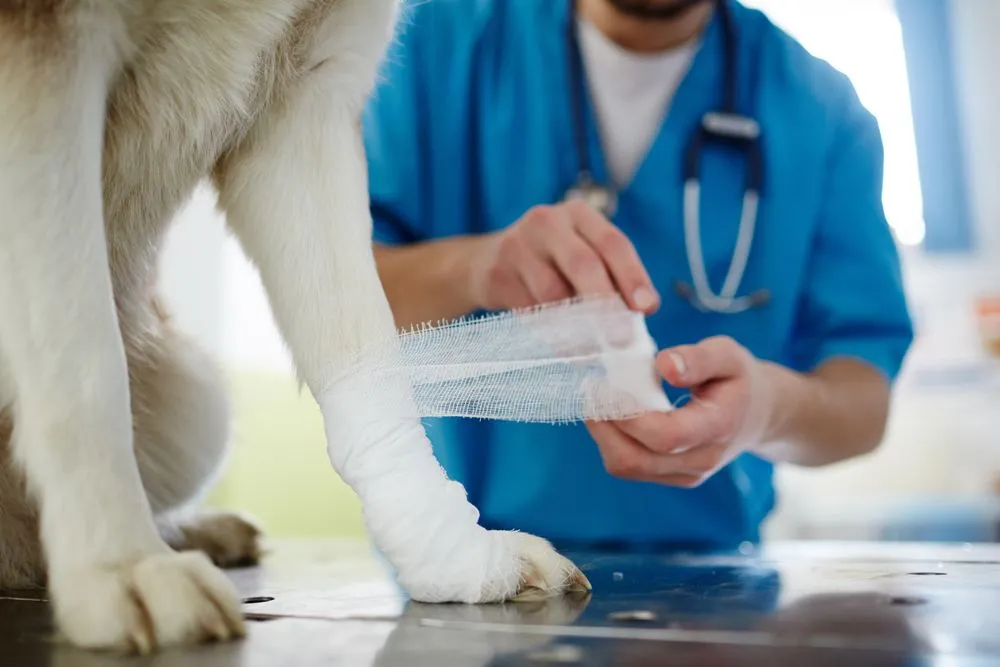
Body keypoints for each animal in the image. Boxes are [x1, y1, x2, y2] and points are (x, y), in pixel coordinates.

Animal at [0, 0, 588, 656]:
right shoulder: (44, 59)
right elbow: (83, 361)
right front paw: (122, 563)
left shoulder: (310, 95)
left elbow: (364, 363)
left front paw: (466, 559)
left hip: (196, 398)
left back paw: (195, 532)